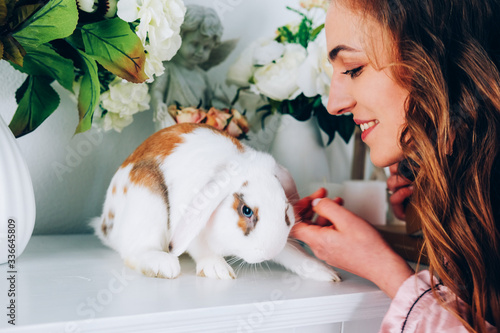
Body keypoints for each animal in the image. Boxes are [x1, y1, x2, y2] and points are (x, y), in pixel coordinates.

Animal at [91, 122, 340, 280]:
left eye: (286, 210)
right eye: (246, 210)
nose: (269, 251)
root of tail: (105, 226)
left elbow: (292, 253)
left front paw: (325, 273)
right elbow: (201, 249)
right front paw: (218, 269)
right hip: (146, 195)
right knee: (134, 253)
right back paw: (164, 265)